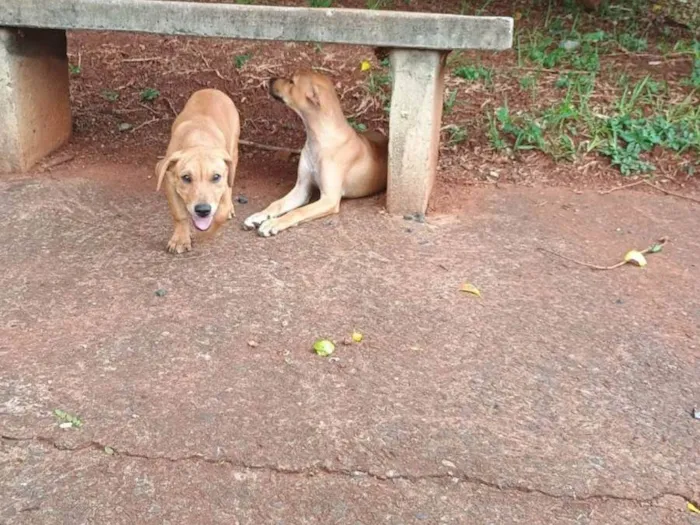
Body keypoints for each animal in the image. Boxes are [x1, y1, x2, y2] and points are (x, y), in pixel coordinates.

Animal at [157, 89, 241, 253]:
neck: (198, 140)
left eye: (216, 177)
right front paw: (180, 239)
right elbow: (179, 214)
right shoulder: (169, 183)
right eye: (186, 177)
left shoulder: (223, 187)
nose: (203, 210)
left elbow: (219, 215)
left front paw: (202, 235)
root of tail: (212, 90)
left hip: (234, 151)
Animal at [243, 68, 388, 236]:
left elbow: (297, 212)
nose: (270, 79)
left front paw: (273, 223)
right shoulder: (301, 189)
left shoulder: (329, 199)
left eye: (292, 81)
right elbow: (276, 204)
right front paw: (259, 215)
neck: (319, 138)